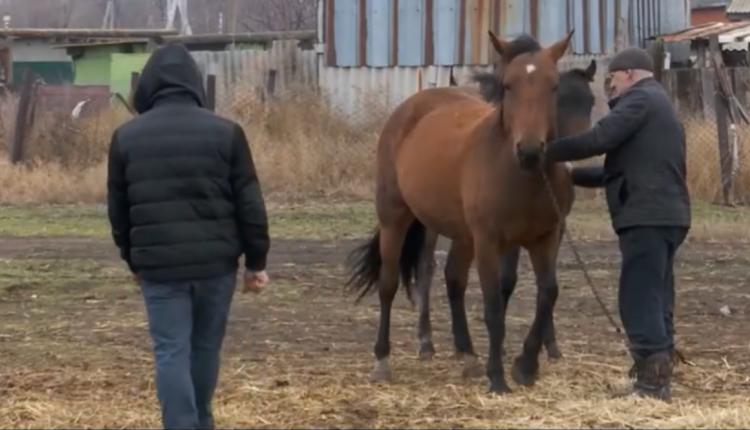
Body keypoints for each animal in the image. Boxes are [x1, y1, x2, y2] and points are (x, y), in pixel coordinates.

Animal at [350, 31, 580, 394]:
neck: (518, 174)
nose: (530, 151)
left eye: (553, 85)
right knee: (388, 284)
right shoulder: (488, 242)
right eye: (508, 85)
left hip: (461, 234)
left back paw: (469, 356)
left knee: (454, 280)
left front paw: (526, 366)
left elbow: (548, 294)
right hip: (394, 218)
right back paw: (382, 361)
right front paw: (497, 378)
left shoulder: (546, 238)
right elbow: (493, 307)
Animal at [412, 60, 600, 364]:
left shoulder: (554, 229)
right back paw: (426, 341)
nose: (576, 162)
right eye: (560, 100)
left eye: (591, 101)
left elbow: (546, 281)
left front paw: (550, 344)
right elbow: (507, 280)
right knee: (425, 269)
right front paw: (499, 345)